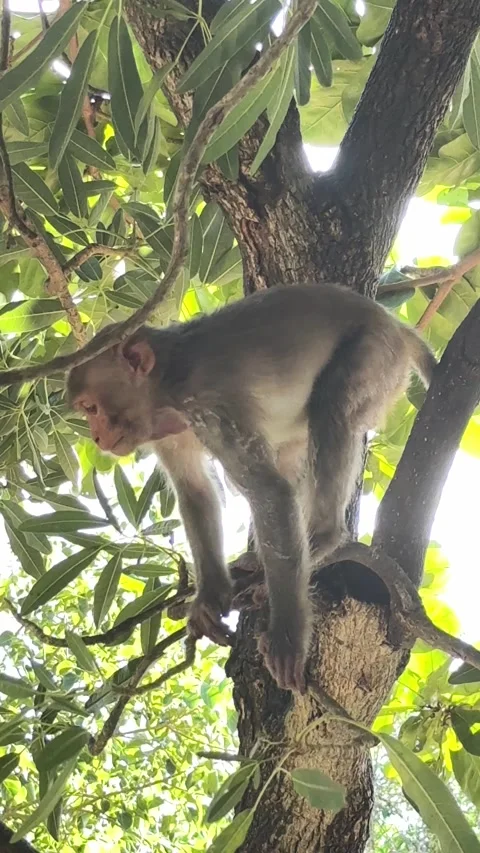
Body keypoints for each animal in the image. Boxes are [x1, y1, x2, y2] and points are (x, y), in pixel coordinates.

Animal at [66, 282, 436, 693]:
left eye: (91, 408)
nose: (96, 437)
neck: (168, 379)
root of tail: (395, 324)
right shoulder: (167, 429)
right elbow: (195, 490)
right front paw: (209, 598)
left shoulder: (205, 401)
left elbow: (270, 491)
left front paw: (288, 637)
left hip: (375, 354)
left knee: (331, 407)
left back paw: (323, 538)